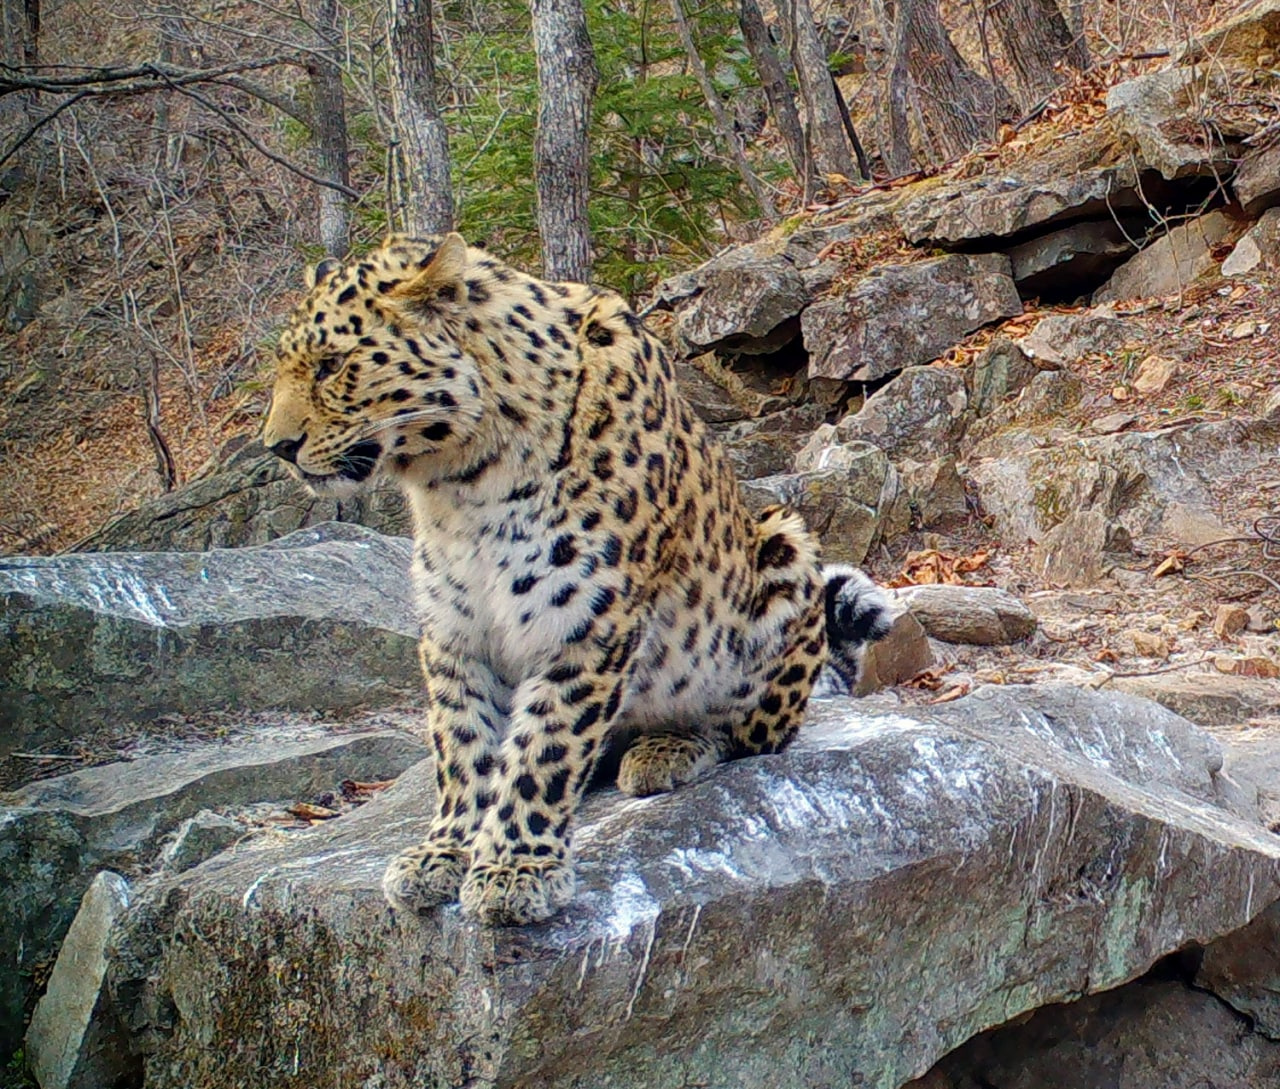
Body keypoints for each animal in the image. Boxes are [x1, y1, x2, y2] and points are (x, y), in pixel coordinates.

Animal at [262, 231, 890, 926]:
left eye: (331, 365)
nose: (275, 447)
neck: (457, 483)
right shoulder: (453, 631)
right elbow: (462, 747)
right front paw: (444, 853)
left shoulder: (584, 622)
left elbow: (546, 747)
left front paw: (514, 870)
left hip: (783, 546)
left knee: (749, 734)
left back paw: (665, 752)